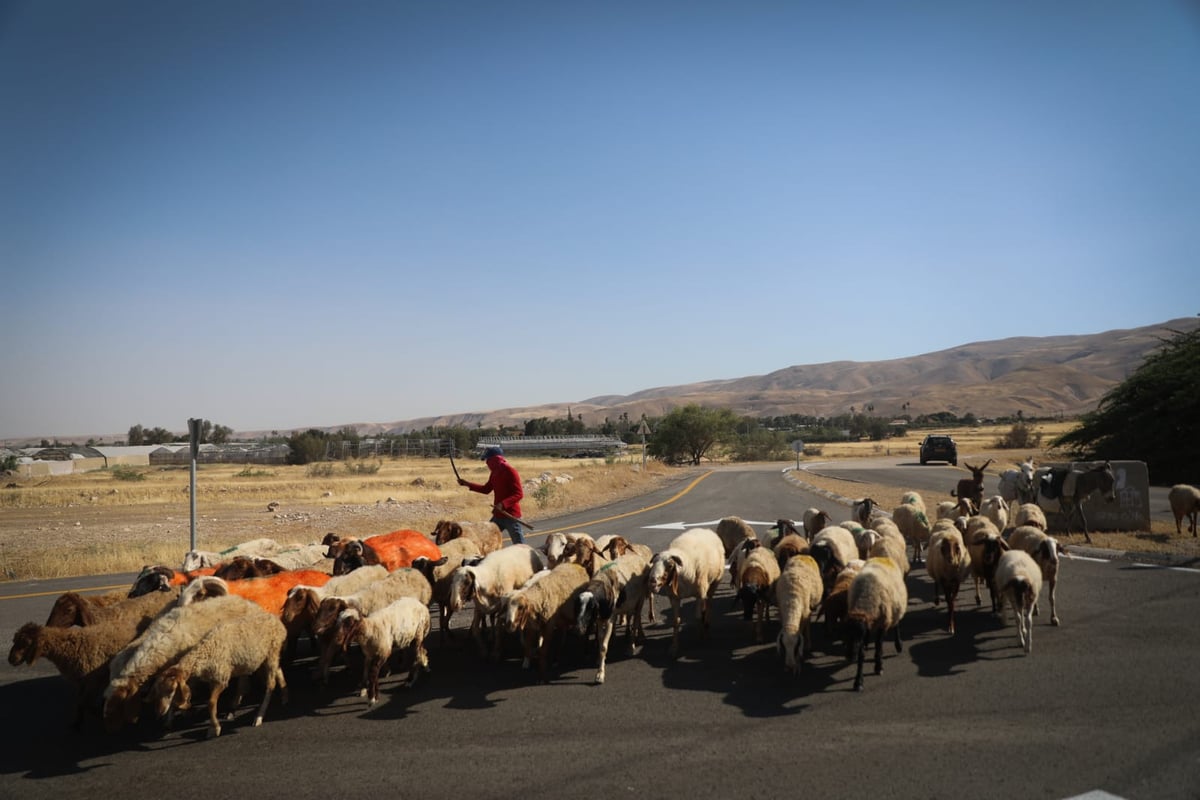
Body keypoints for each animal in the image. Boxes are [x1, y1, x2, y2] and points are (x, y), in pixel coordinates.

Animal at [7, 614, 148, 734]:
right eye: (15, 641)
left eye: (25, 643)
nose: (11, 659)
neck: (70, 647)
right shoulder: (82, 681)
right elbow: (79, 702)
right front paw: (76, 723)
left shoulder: (92, 680)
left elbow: (85, 703)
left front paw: (98, 714)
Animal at [103, 594, 262, 734]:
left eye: (118, 705)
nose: (110, 730)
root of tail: (244, 601)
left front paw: (180, 712)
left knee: (243, 678)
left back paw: (234, 705)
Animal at [150, 606, 288, 738]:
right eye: (157, 691)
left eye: (171, 691)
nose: (159, 712)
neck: (205, 652)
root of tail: (278, 622)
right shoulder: (213, 679)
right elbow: (213, 703)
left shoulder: (222, 677)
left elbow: (211, 703)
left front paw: (215, 729)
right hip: (269, 656)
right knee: (278, 670)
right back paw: (284, 696)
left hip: (272, 651)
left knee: (270, 685)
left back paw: (259, 717)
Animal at [648, 527, 720, 662]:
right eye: (653, 563)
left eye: (670, 565)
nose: (652, 581)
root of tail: (704, 528)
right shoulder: (674, 598)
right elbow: (676, 622)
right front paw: (674, 648)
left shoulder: (700, 594)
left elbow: (698, 617)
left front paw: (701, 637)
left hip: (714, 583)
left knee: (709, 604)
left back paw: (706, 625)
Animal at [844, 556, 907, 695]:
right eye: (844, 633)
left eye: (859, 633)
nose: (849, 656)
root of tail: (883, 557)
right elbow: (861, 655)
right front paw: (858, 682)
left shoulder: (883, 624)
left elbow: (878, 646)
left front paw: (879, 666)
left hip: (895, 607)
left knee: (897, 625)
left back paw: (898, 645)